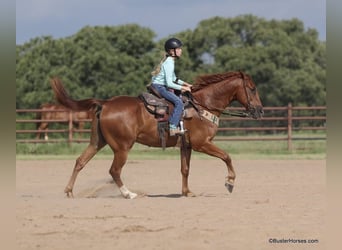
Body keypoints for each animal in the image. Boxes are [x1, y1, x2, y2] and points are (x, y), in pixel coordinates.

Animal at [50, 71, 264, 198]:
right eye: (252, 89)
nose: (260, 111)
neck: (203, 105)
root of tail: (105, 103)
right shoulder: (202, 143)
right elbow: (227, 156)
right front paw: (230, 182)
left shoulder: (187, 146)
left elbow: (185, 169)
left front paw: (187, 192)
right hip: (122, 148)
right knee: (114, 170)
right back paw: (128, 194)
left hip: (97, 142)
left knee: (80, 161)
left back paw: (69, 191)